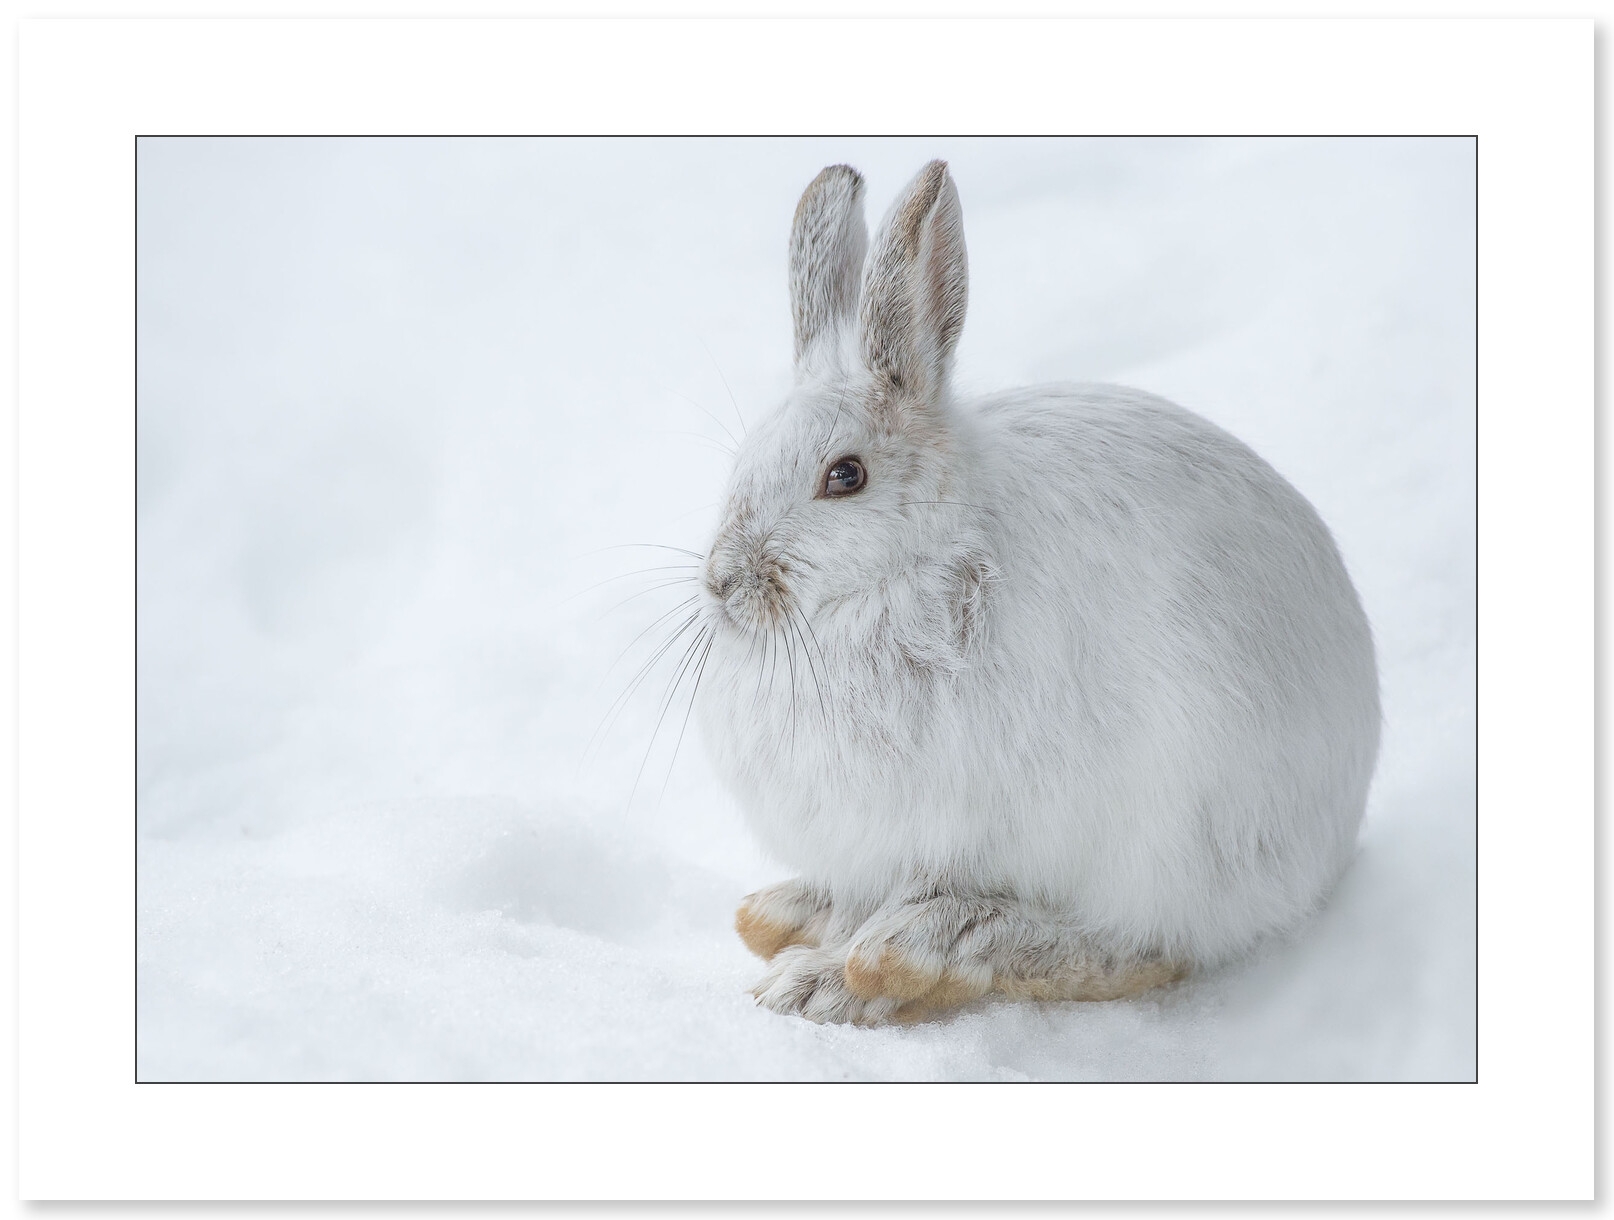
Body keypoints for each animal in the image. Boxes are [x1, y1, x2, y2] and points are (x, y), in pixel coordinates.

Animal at [692, 160, 1380, 1025]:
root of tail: (1335, 835)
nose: (722, 582)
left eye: (844, 477)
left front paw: (832, 980)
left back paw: (914, 952)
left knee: (1141, 949)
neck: (909, 572)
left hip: (1178, 835)